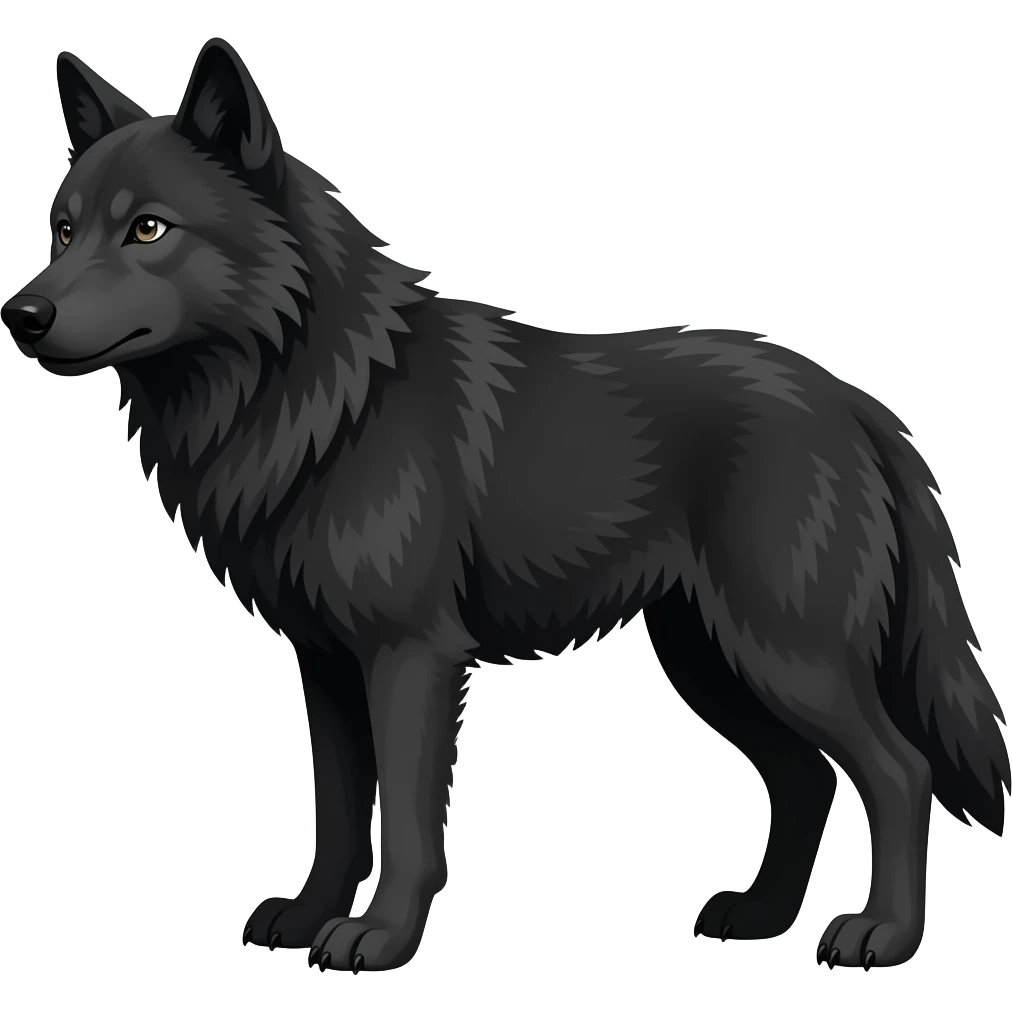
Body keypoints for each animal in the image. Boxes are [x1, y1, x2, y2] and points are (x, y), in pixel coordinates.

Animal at [3, 38, 1008, 974]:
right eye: (63, 229)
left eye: (147, 229)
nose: (23, 315)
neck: (322, 393)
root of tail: (856, 402)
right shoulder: (325, 666)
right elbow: (339, 812)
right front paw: (307, 917)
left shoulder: (411, 658)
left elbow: (408, 824)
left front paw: (379, 936)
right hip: (713, 660)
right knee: (805, 780)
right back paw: (759, 918)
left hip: (785, 656)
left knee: (900, 771)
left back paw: (881, 935)